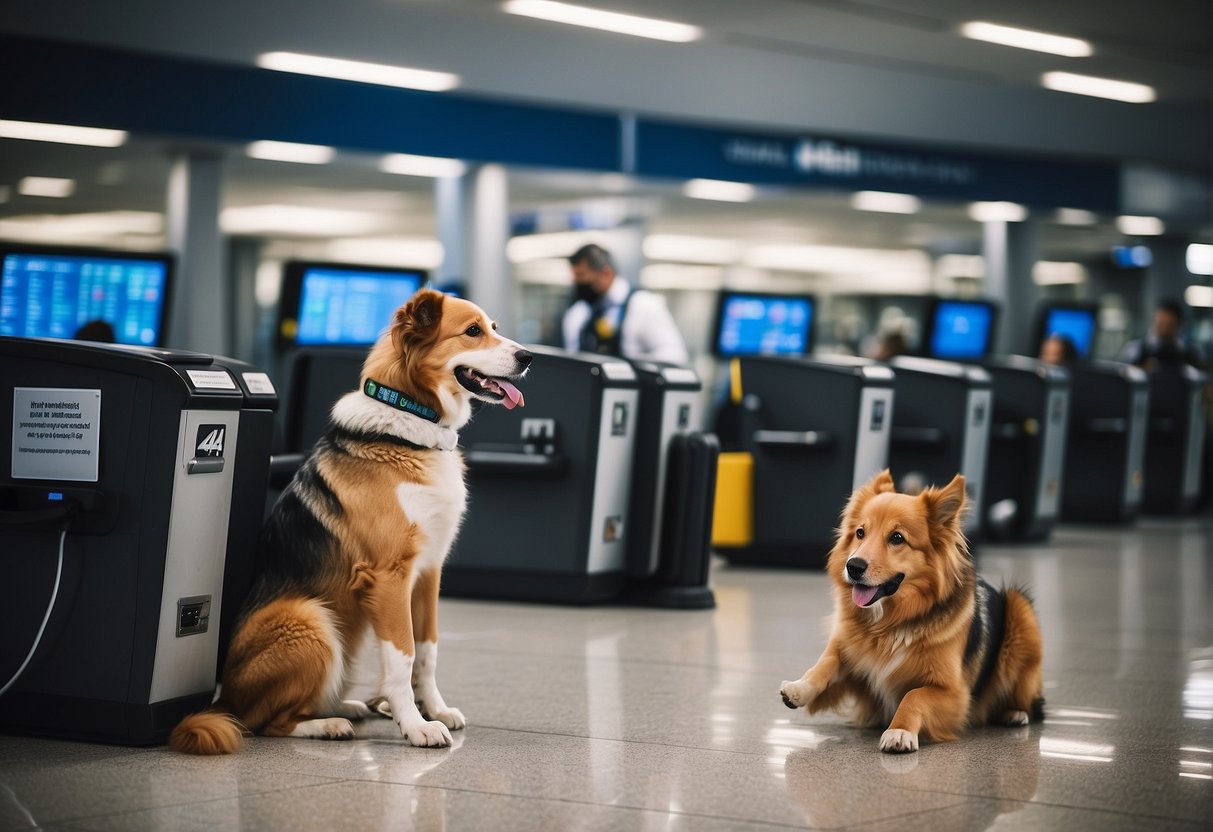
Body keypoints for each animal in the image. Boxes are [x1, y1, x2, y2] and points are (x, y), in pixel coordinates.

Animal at [171, 288, 531, 756]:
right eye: (472, 331)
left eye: (494, 328)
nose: (528, 357)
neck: (410, 423)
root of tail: (223, 698)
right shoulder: (389, 576)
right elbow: (403, 655)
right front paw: (415, 725)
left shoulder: (429, 571)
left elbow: (427, 649)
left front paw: (433, 708)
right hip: (311, 620)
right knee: (263, 722)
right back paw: (328, 724)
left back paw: (348, 706)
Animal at [781, 473, 1048, 751]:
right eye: (860, 533)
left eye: (897, 537)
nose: (853, 566)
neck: (890, 623)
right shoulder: (850, 650)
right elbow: (826, 662)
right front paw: (798, 689)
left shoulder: (954, 692)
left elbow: (914, 696)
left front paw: (899, 731)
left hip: (1020, 610)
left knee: (1032, 702)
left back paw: (1015, 713)